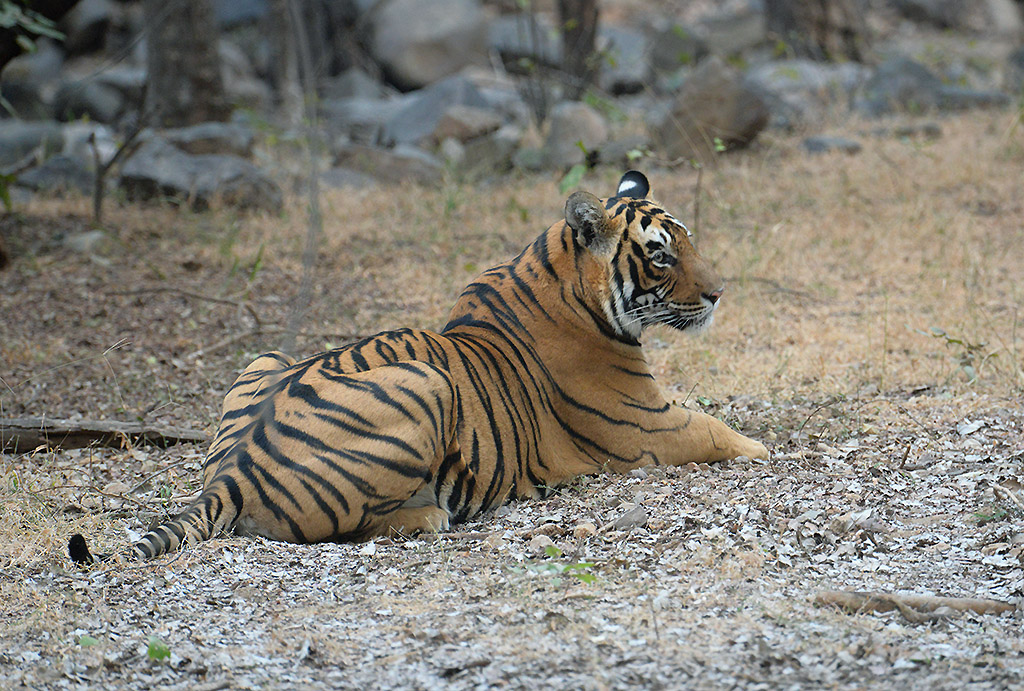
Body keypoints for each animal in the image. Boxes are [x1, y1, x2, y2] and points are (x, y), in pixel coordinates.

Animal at [70, 169, 770, 565]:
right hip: (425, 383)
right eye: (661, 255)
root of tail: (229, 476)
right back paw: (429, 515)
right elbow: (719, 431)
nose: (720, 293)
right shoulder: (648, 425)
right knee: (349, 527)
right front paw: (766, 450)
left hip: (264, 356)